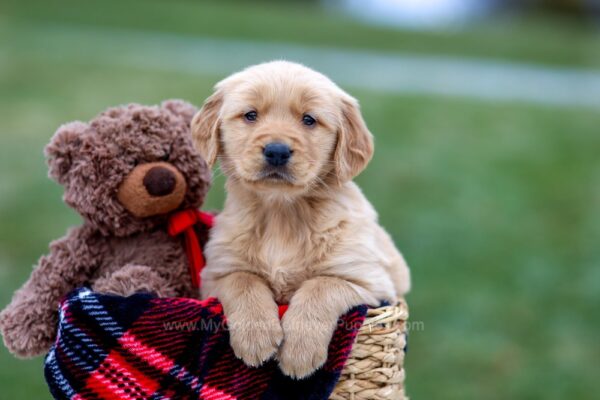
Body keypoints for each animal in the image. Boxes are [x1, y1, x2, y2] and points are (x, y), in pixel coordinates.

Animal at [192, 60, 412, 378]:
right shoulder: (215, 274)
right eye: (250, 115)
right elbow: (243, 280)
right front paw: (256, 338)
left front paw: (299, 352)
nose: (277, 151)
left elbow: (321, 285)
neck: (282, 213)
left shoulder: (371, 282)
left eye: (309, 120)